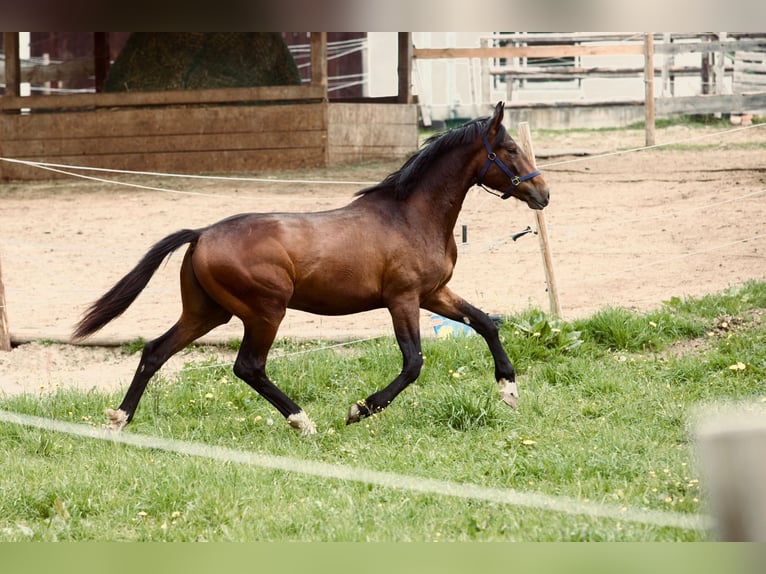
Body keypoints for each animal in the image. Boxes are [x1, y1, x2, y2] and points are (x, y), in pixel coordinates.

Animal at [72, 101, 550, 436]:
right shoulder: (403, 299)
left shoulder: (434, 293)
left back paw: (120, 419)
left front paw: (509, 391)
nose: (543, 194)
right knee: (248, 366)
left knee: (155, 351)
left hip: (208, 312)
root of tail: (202, 233)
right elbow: (413, 362)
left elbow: (486, 323)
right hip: (265, 311)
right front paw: (359, 409)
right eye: (509, 149)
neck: (412, 216)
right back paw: (303, 421)